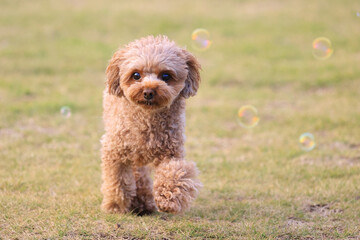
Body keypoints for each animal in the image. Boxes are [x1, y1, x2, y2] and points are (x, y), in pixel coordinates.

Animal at [101, 34, 202, 215]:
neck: (147, 119)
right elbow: (117, 180)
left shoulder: (171, 151)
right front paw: (115, 206)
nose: (148, 92)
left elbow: (174, 173)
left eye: (166, 76)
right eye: (136, 75)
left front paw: (168, 199)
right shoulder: (114, 151)